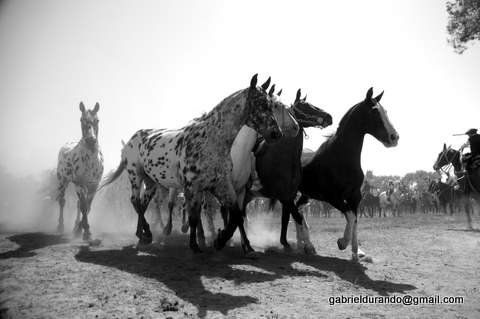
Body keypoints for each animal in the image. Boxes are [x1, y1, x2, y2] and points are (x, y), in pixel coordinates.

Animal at [55, 102, 103, 240]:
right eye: (81, 119)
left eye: (97, 120)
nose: (91, 140)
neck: (90, 160)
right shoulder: (80, 184)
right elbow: (84, 207)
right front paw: (86, 232)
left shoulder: (94, 185)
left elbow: (87, 206)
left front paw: (79, 230)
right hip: (63, 182)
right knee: (62, 201)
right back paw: (60, 227)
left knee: (78, 204)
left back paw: (76, 227)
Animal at [99, 75, 298, 252]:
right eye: (262, 104)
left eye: (271, 105)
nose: (276, 133)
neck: (210, 140)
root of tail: (132, 139)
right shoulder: (192, 187)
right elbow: (195, 216)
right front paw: (196, 245)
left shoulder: (223, 186)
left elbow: (236, 216)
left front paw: (228, 242)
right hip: (136, 175)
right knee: (135, 201)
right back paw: (148, 235)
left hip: (151, 182)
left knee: (142, 204)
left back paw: (143, 235)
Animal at [294, 88, 400, 262]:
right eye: (374, 112)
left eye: (385, 111)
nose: (394, 137)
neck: (341, 157)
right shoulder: (333, 198)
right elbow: (350, 217)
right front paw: (342, 242)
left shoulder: (355, 197)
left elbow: (355, 220)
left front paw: (356, 254)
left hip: (305, 194)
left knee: (298, 211)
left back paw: (306, 245)